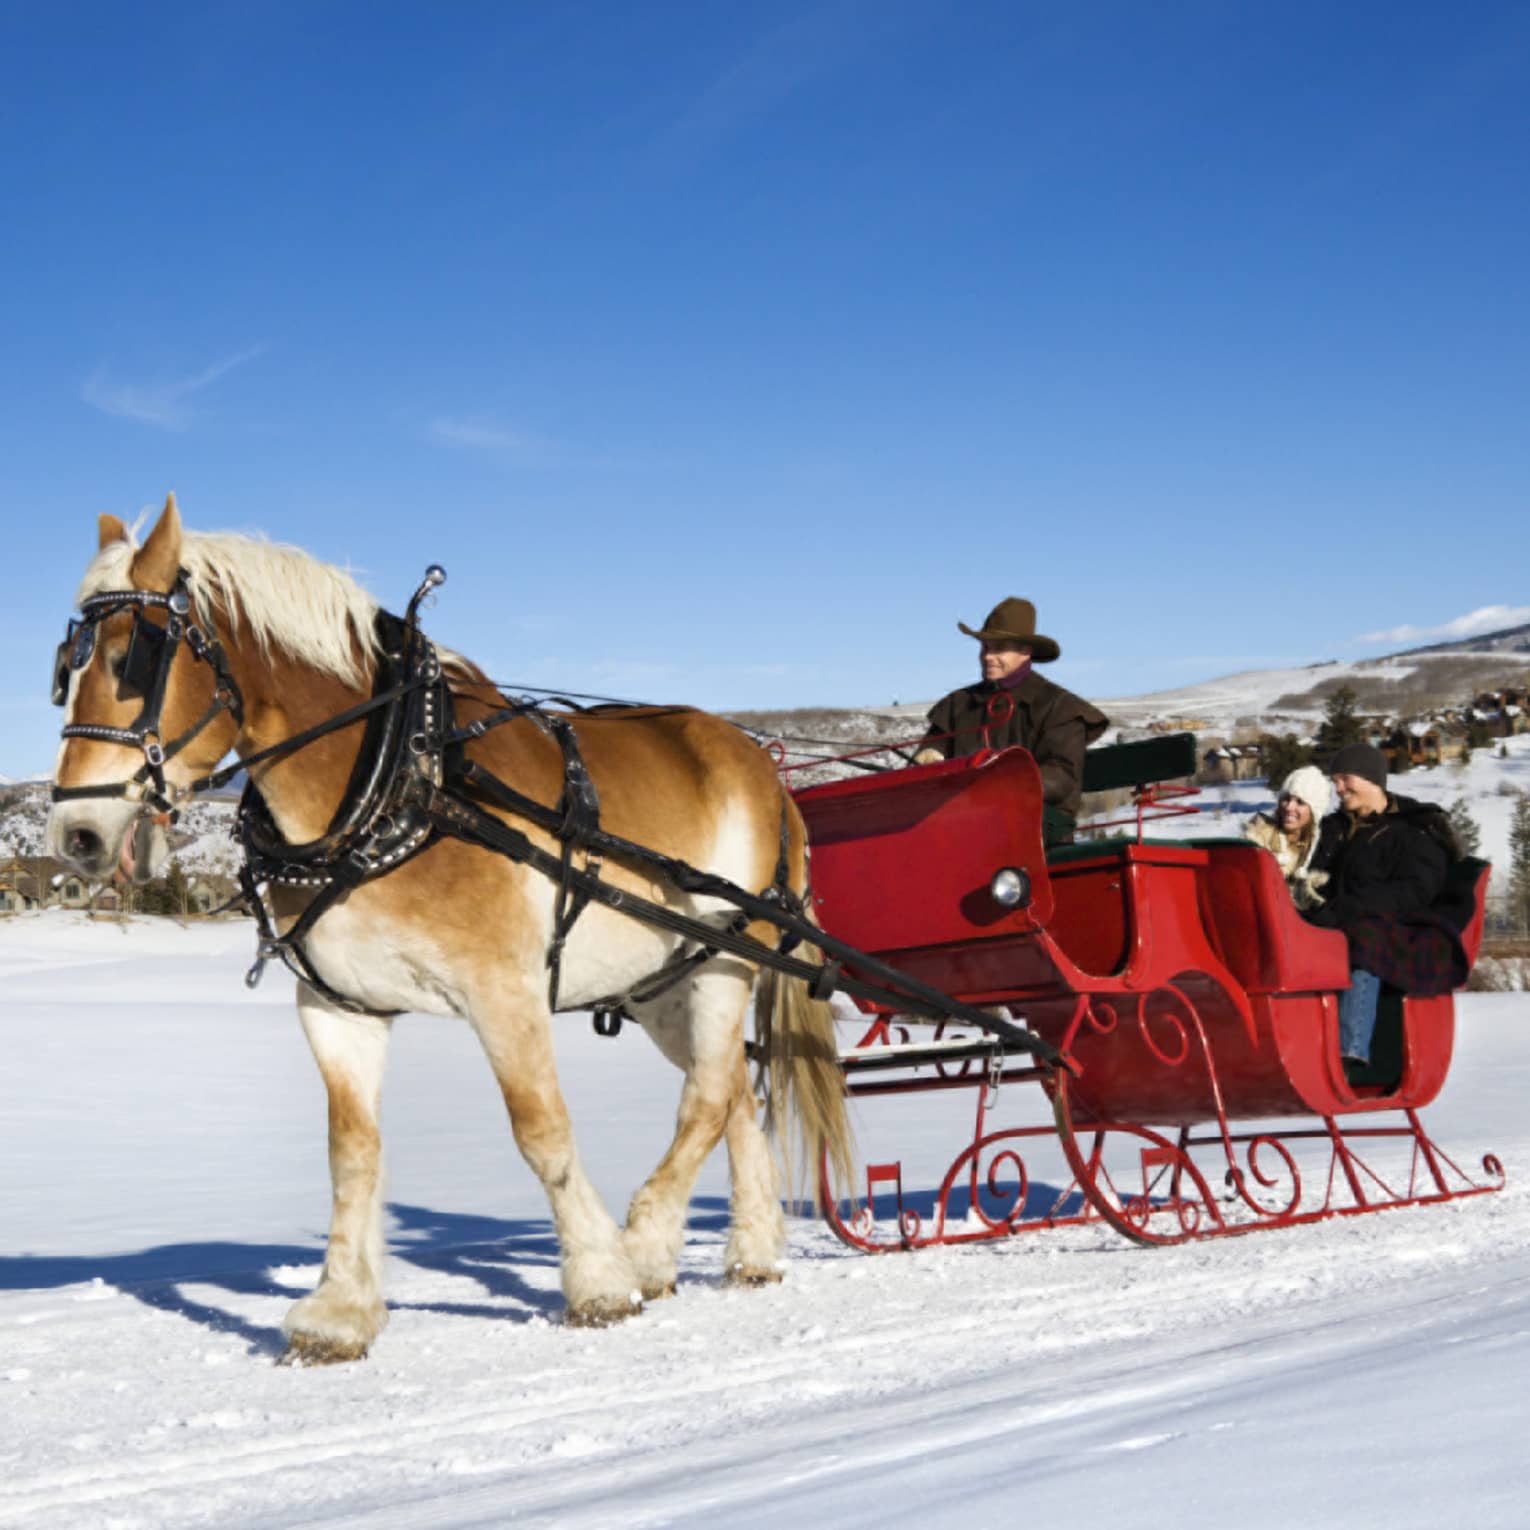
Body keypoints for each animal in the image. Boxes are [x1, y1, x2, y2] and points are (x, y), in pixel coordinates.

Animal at [47, 494, 853, 1363]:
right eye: (65, 669)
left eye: (132, 658)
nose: (77, 835)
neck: (398, 779)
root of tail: (762, 764)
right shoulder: (339, 1007)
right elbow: (352, 1153)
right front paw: (339, 1311)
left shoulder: (504, 991)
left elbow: (541, 1130)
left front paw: (600, 1279)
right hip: (661, 985)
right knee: (731, 1088)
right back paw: (752, 1249)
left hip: (724, 963)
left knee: (705, 1097)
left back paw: (645, 1246)